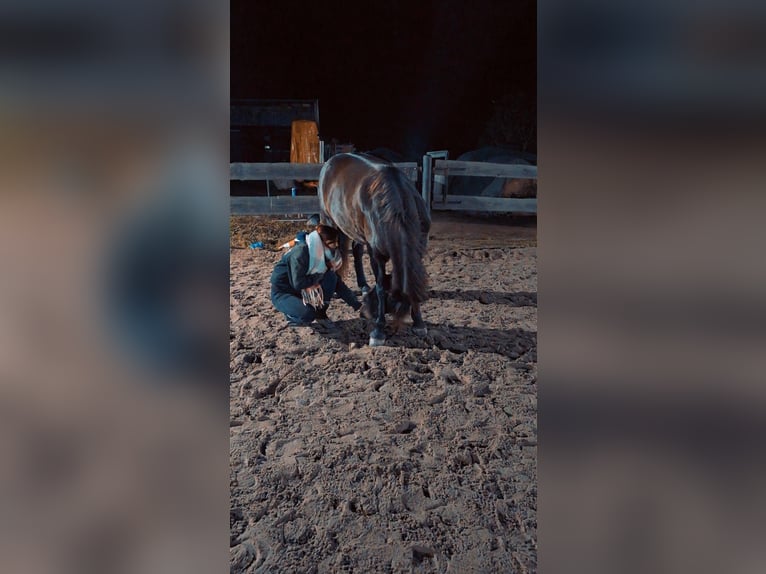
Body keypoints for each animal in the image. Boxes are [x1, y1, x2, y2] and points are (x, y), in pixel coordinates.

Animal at [318, 153, 432, 346]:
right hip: (329, 221)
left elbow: (415, 280)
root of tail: (331, 161)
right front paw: (378, 331)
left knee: (356, 251)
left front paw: (419, 322)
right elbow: (380, 286)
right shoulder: (376, 254)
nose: (362, 312)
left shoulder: (418, 249)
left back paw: (362, 284)